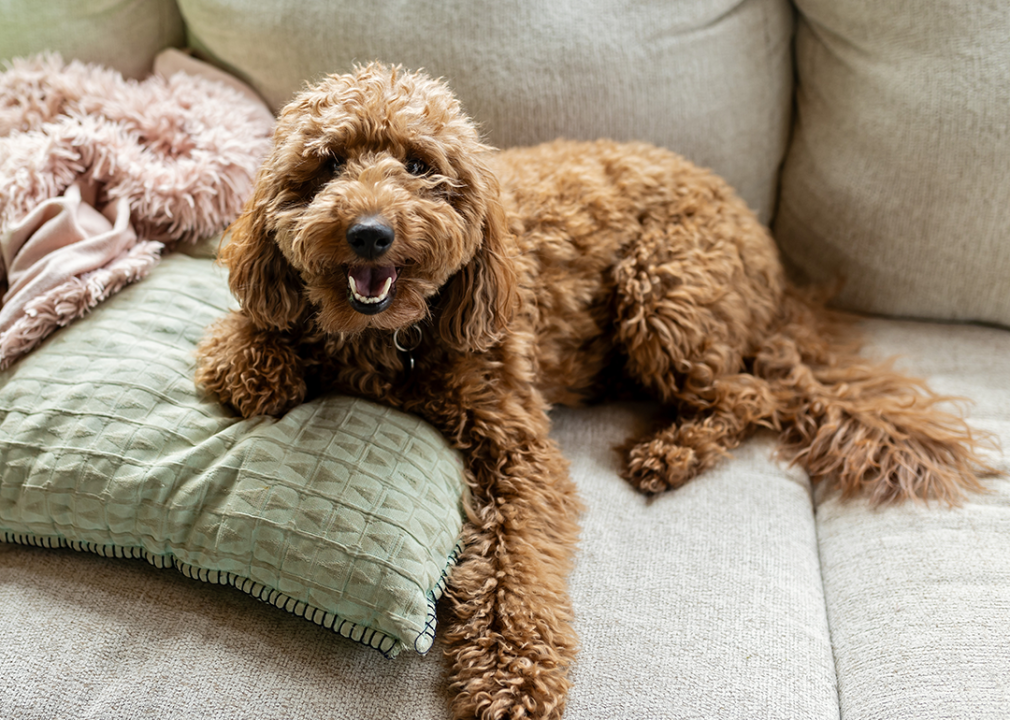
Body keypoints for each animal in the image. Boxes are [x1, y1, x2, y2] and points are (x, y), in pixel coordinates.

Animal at [196, 63, 993, 718]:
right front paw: (257, 364)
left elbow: (517, 565)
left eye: (419, 165)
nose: (368, 233)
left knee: (748, 397)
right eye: (327, 164)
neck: (388, 338)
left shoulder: (517, 448)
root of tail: (775, 268)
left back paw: (671, 454)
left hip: (664, 290)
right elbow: (243, 337)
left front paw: (512, 673)